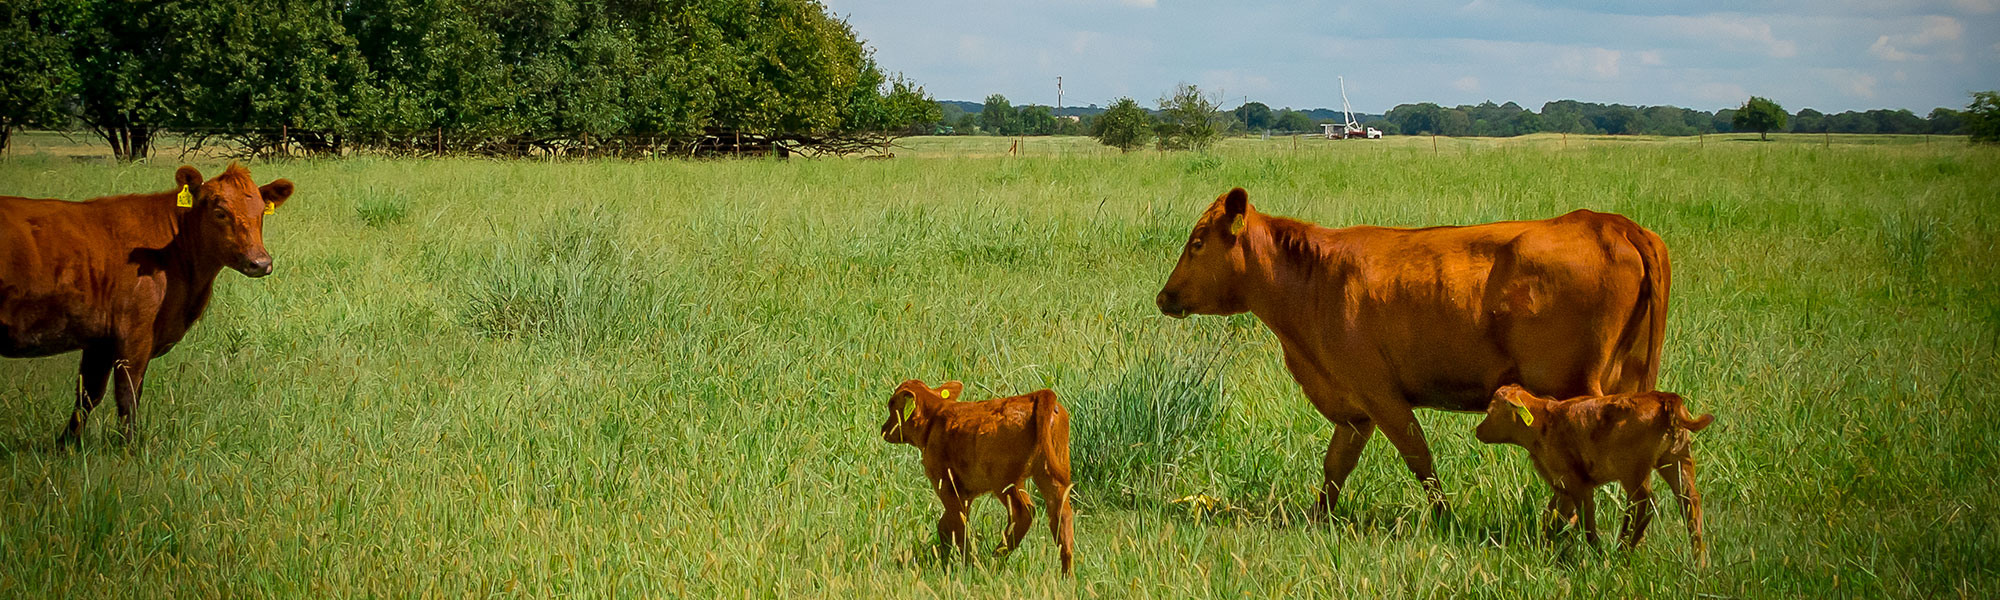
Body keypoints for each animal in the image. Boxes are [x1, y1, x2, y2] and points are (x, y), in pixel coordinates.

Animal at [0, 164, 294, 446]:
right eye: (220, 212)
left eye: (261, 212)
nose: (260, 263)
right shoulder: (134, 333)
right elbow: (127, 394)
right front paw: (129, 449)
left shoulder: (99, 340)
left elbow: (88, 394)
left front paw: (67, 445)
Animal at [880, 382, 1080, 576]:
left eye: (891, 403)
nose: (883, 429)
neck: (935, 417)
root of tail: (1035, 396)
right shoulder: (965, 492)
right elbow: (946, 524)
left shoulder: (946, 484)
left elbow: (957, 524)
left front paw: (965, 564)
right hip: (1052, 474)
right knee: (1061, 515)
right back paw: (1066, 576)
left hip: (1006, 480)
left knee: (1024, 511)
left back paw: (996, 558)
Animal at [1152, 189, 1664, 516]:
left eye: (1197, 243)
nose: (1163, 296)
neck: (1313, 281)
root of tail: (1608, 222)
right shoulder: (1355, 407)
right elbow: (1336, 466)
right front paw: (1318, 520)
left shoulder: (1381, 395)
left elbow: (1419, 458)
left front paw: (1444, 519)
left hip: (1575, 385)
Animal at [1472, 382, 1720, 564]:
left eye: (1490, 411)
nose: (1478, 430)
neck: (1545, 421)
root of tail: (1665, 398)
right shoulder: (1563, 486)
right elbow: (1552, 517)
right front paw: (1544, 547)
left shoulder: (1579, 483)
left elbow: (1586, 521)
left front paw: (1598, 554)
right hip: (1677, 460)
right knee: (1690, 501)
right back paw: (1699, 563)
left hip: (1635, 471)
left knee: (1643, 505)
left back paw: (1621, 553)